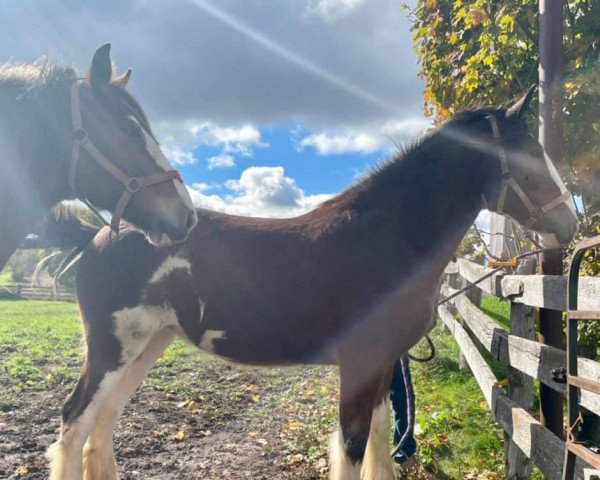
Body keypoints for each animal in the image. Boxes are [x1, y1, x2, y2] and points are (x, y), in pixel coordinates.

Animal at [50, 87, 576, 480]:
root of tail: (98, 235)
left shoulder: (381, 366)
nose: (569, 225)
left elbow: (379, 441)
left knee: (103, 423)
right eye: (531, 156)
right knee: (75, 421)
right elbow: (353, 447)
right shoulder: (359, 363)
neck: (385, 239)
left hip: (147, 345)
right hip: (113, 349)